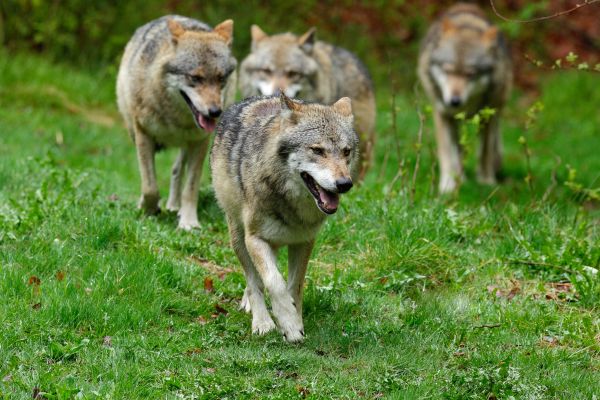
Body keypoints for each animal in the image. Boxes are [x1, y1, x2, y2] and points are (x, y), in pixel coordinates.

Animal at [116, 15, 238, 230]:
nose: (215, 112)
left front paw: (188, 222)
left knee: (176, 170)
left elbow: (190, 188)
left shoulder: (200, 142)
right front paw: (149, 210)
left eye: (221, 78)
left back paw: (175, 207)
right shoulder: (143, 135)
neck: (175, 119)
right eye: (195, 78)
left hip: (187, 145)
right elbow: (150, 187)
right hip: (134, 131)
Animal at [211, 92, 358, 342]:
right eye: (317, 150)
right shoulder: (255, 239)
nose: (344, 184)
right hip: (238, 238)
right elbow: (274, 282)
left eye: (346, 151)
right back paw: (261, 322)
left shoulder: (304, 242)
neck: (291, 206)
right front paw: (288, 324)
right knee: (253, 281)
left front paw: (295, 319)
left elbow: (295, 286)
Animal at [418, 3, 510, 194]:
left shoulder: (487, 117)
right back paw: (460, 176)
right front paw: (447, 185)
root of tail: (466, 5)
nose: (454, 101)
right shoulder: (442, 114)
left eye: (470, 74)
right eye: (447, 70)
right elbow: (446, 152)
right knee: (458, 150)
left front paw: (487, 181)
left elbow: (485, 152)